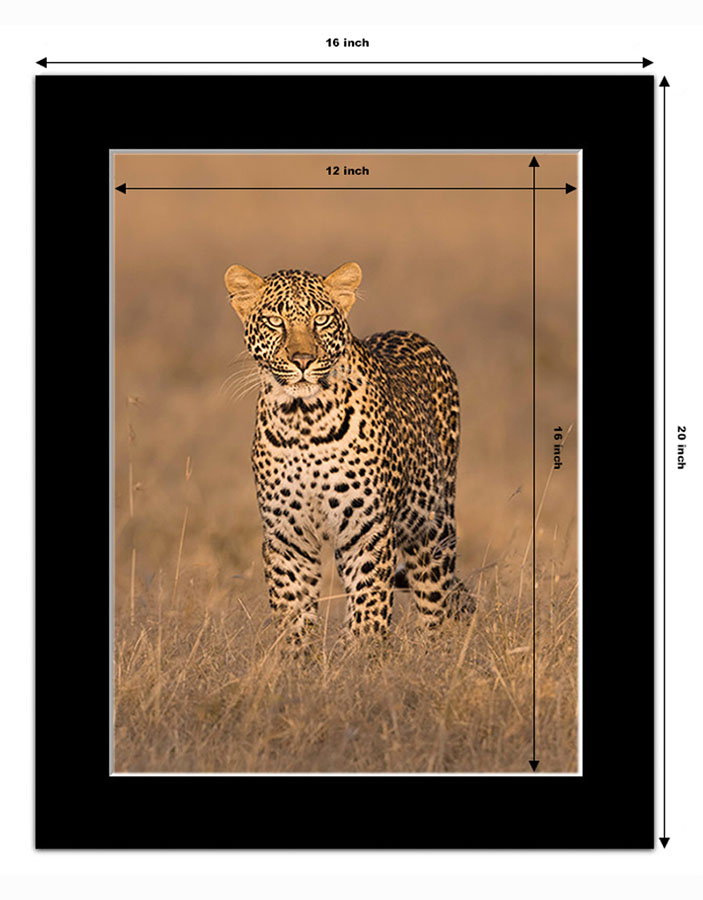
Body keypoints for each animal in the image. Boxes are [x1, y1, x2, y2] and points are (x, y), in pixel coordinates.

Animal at [225, 261, 476, 642]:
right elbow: (292, 615)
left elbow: (369, 608)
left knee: (436, 604)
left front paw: (362, 653)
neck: (304, 421)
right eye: (275, 321)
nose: (302, 360)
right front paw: (296, 654)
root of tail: (410, 334)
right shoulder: (287, 535)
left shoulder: (366, 529)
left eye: (321, 319)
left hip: (434, 527)